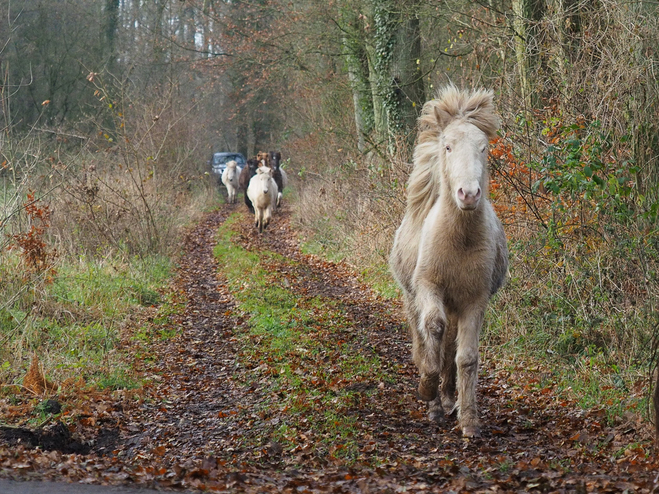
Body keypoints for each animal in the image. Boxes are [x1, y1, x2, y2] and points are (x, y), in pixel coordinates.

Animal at [390, 87, 508, 438]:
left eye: (483, 147)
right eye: (447, 146)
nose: (468, 194)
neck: (459, 239)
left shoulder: (474, 300)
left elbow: (465, 357)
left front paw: (469, 420)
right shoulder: (429, 288)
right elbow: (433, 330)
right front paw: (427, 391)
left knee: (450, 349)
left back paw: (448, 398)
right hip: (412, 298)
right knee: (425, 341)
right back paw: (435, 403)